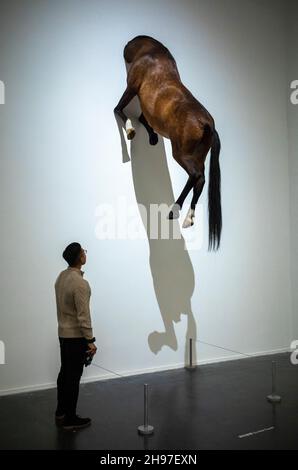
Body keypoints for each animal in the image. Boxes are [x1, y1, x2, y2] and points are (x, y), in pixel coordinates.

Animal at [115, 35, 222, 250]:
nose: (125, 50)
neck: (152, 53)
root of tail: (207, 124)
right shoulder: (147, 109)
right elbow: (142, 119)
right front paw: (152, 138)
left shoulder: (131, 88)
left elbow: (119, 111)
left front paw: (130, 131)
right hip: (197, 156)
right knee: (199, 180)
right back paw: (184, 216)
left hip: (181, 153)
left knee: (197, 176)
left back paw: (178, 213)